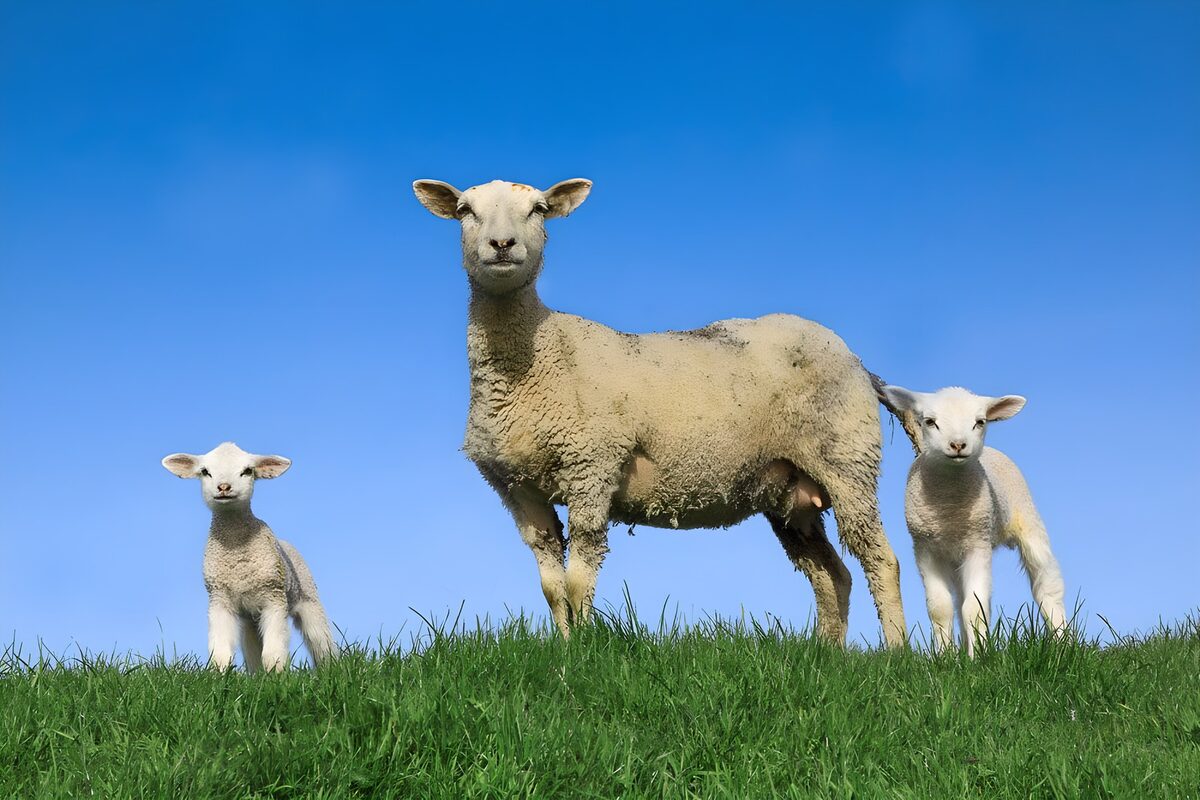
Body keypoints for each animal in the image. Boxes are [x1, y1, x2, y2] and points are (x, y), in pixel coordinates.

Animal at [161, 442, 337, 671]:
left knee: (321, 640)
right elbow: (221, 654)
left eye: (247, 471)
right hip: (249, 619)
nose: (224, 487)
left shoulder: (274, 598)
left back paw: (332, 668)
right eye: (205, 471)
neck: (235, 549)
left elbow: (273, 653)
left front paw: (278, 676)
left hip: (308, 598)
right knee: (252, 650)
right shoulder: (219, 600)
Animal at [412, 177, 907, 647]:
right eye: (465, 210)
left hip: (846, 459)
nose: (502, 245)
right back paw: (828, 654)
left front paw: (585, 651)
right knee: (830, 574)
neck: (538, 356)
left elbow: (577, 581)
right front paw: (564, 652)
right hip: (790, 491)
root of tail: (856, 360)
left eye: (538, 209)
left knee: (881, 559)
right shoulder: (517, 489)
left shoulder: (592, 465)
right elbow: (551, 588)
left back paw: (896, 651)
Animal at [878, 385, 1066, 656]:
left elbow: (975, 609)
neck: (948, 508)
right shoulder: (925, 548)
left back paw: (1064, 643)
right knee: (959, 600)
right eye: (930, 421)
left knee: (1047, 586)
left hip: (1028, 519)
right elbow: (941, 608)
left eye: (980, 422)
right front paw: (946, 657)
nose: (958, 444)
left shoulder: (978, 544)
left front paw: (979, 657)